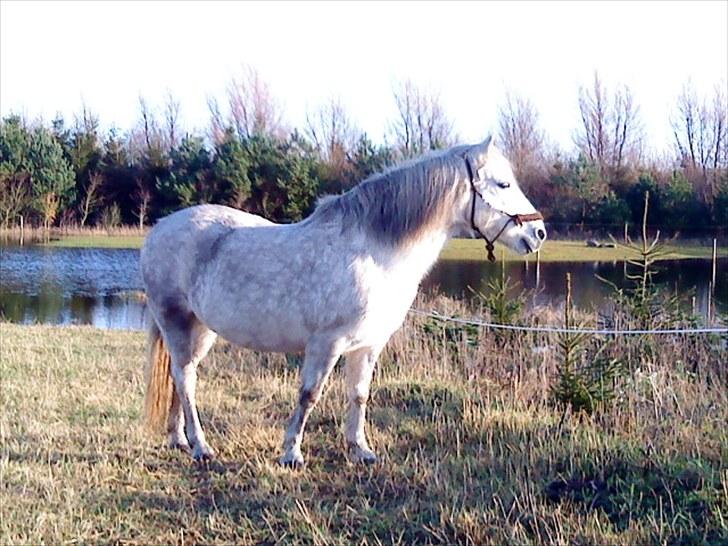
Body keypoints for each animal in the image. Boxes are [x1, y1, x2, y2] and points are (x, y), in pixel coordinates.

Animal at [141, 136, 546, 466]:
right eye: (503, 183)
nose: (538, 232)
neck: (373, 253)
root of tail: (160, 227)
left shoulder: (368, 345)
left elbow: (359, 395)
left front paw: (359, 449)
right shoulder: (326, 344)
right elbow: (309, 395)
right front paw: (292, 453)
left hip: (201, 329)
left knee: (180, 377)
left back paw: (179, 439)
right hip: (175, 321)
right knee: (185, 378)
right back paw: (200, 446)